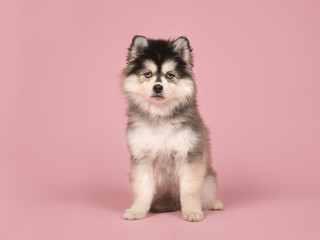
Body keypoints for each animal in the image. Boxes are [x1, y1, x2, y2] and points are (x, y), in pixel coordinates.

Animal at [121, 35, 224, 221]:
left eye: (170, 75)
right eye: (148, 74)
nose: (157, 87)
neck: (160, 115)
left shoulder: (189, 155)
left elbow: (190, 190)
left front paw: (192, 211)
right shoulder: (142, 159)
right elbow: (142, 190)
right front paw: (137, 210)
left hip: (209, 178)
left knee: (205, 194)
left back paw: (212, 203)